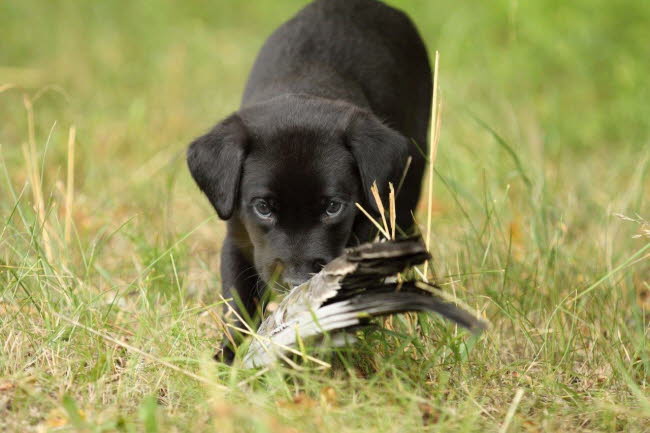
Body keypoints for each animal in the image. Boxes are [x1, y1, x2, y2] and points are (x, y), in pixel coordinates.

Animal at [187, 0, 430, 360]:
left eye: (332, 207)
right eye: (263, 208)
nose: (297, 280)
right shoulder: (239, 241)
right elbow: (239, 306)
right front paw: (227, 356)